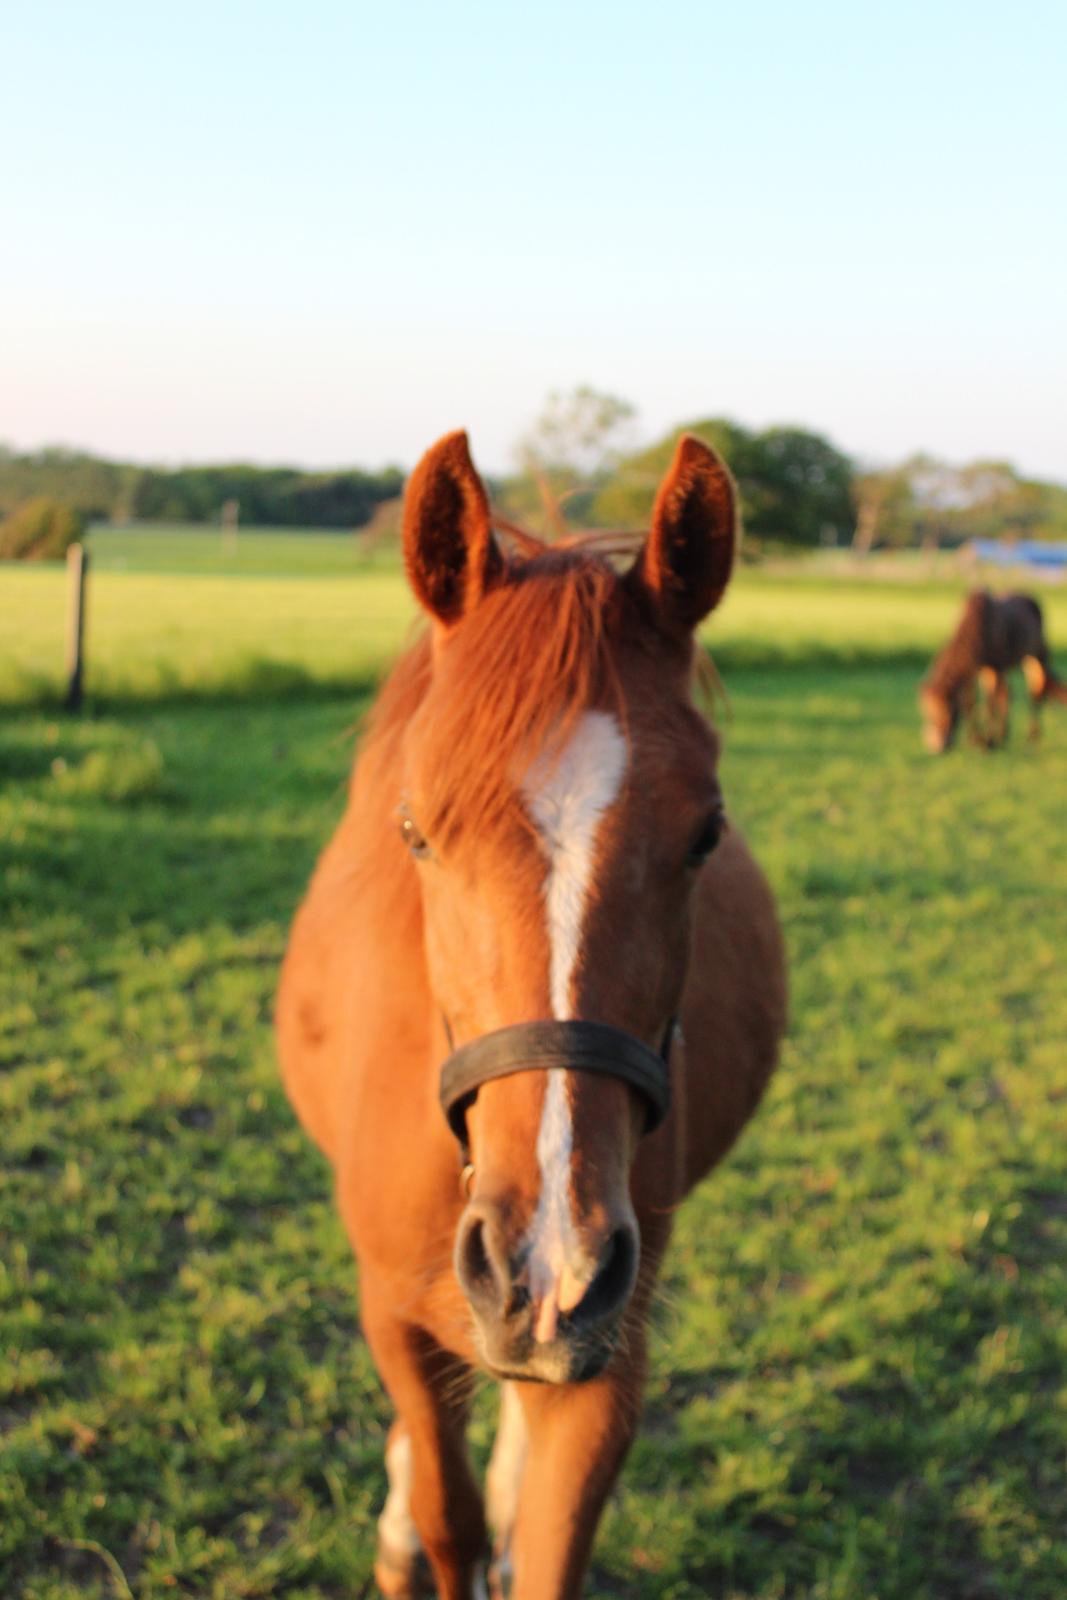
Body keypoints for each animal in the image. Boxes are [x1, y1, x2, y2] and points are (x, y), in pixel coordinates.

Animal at [279, 432, 790, 1600]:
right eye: (416, 830)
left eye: (705, 834)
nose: (544, 1268)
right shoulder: (395, 1314)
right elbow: (444, 1511)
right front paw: (412, 1528)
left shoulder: (608, 1351)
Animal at [921, 588, 1067, 755]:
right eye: (928, 712)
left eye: (948, 711)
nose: (936, 747)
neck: (977, 626)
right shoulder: (976, 669)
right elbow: (970, 702)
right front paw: (976, 740)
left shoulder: (994, 667)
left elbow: (990, 704)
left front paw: (988, 742)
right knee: (1008, 694)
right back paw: (1004, 736)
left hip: (1035, 657)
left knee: (1035, 692)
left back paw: (1031, 738)